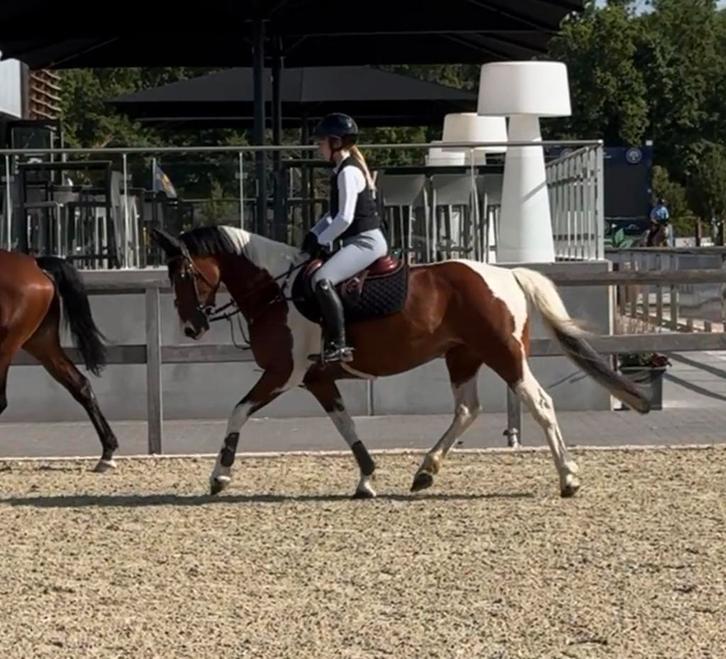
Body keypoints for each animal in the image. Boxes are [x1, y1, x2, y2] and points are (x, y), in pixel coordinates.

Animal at [151, 225, 650, 499]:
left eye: (183, 274)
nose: (192, 328)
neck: (277, 289)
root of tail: (506, 275)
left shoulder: (283, 374)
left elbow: (237, 411)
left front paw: (220, 475)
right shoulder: (316, 378)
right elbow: (346, 424)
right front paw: (367, 479)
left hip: (504, 355)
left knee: (540, 403)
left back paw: (568, 478)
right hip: (463, 357)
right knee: (466, 409)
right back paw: (425, 471)